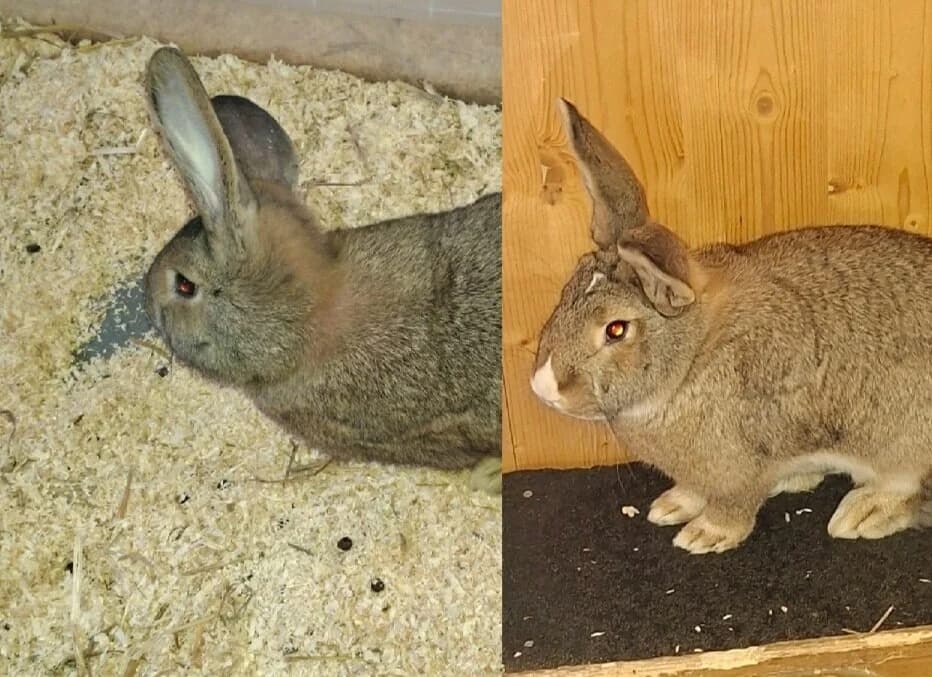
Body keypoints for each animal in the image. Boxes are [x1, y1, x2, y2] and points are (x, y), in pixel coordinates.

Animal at [531, 97, 932, 551]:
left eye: (615, 330)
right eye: (568, 288)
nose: (543, 387)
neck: (692, 358)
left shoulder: (741, 469)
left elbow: (734, 505)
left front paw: (704, 535)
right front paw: (671, 505)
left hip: (899, 443)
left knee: (904, 485)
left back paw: (862, 513)